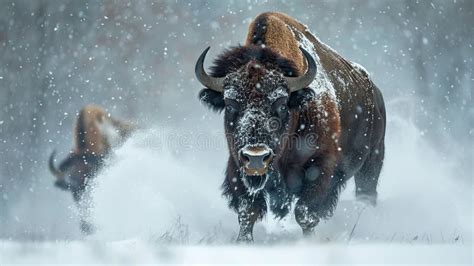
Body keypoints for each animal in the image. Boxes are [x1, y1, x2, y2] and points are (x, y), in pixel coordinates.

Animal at [195, 11, 386, 241]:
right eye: (230, 104)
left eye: (281, 104)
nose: (256, 157)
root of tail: (374, 92)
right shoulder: (238, 167)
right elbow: (247, 211)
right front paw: (243, 242)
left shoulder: (320, 168)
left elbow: (305, 213)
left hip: (372, 161)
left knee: (366, 193)